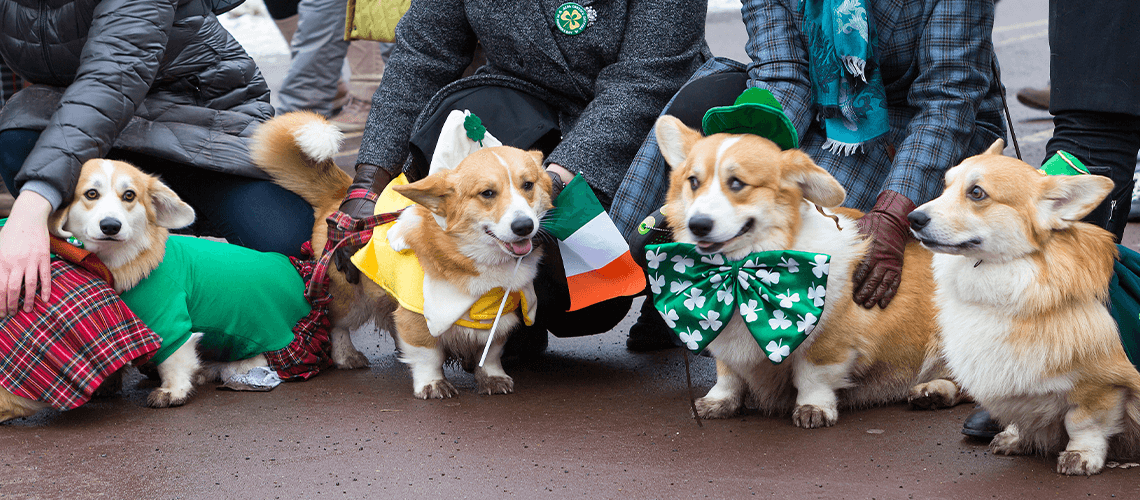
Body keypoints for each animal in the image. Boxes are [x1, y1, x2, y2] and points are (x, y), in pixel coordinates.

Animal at [251, 112, 554, 398]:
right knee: (337, 324)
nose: (524, 226)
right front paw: (432, 384)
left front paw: (492, 378)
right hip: (350, 296)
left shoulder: (498, 318)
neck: (474, 257)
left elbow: (490, 353)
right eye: (487, 193)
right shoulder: (417, 316)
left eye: (528, 185)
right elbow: (428, 355)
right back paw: (346, 356)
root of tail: (340, 193)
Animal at [652, 115, 962, 428]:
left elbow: (812, 375)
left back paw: (935, 391)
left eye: (737, 183)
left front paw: (813, 407)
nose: (698, 225)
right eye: (693, 181)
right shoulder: (720, 337)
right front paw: (719, 401)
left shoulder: (829, 341)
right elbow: (728, 375)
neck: (739, 273)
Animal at [907, 141, 1140, 478]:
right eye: (946, 186)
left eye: (976, 192)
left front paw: (1080, 455)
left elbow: (1084, 422)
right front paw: (1018, 436)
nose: (912, 218)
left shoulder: (1101, 386)